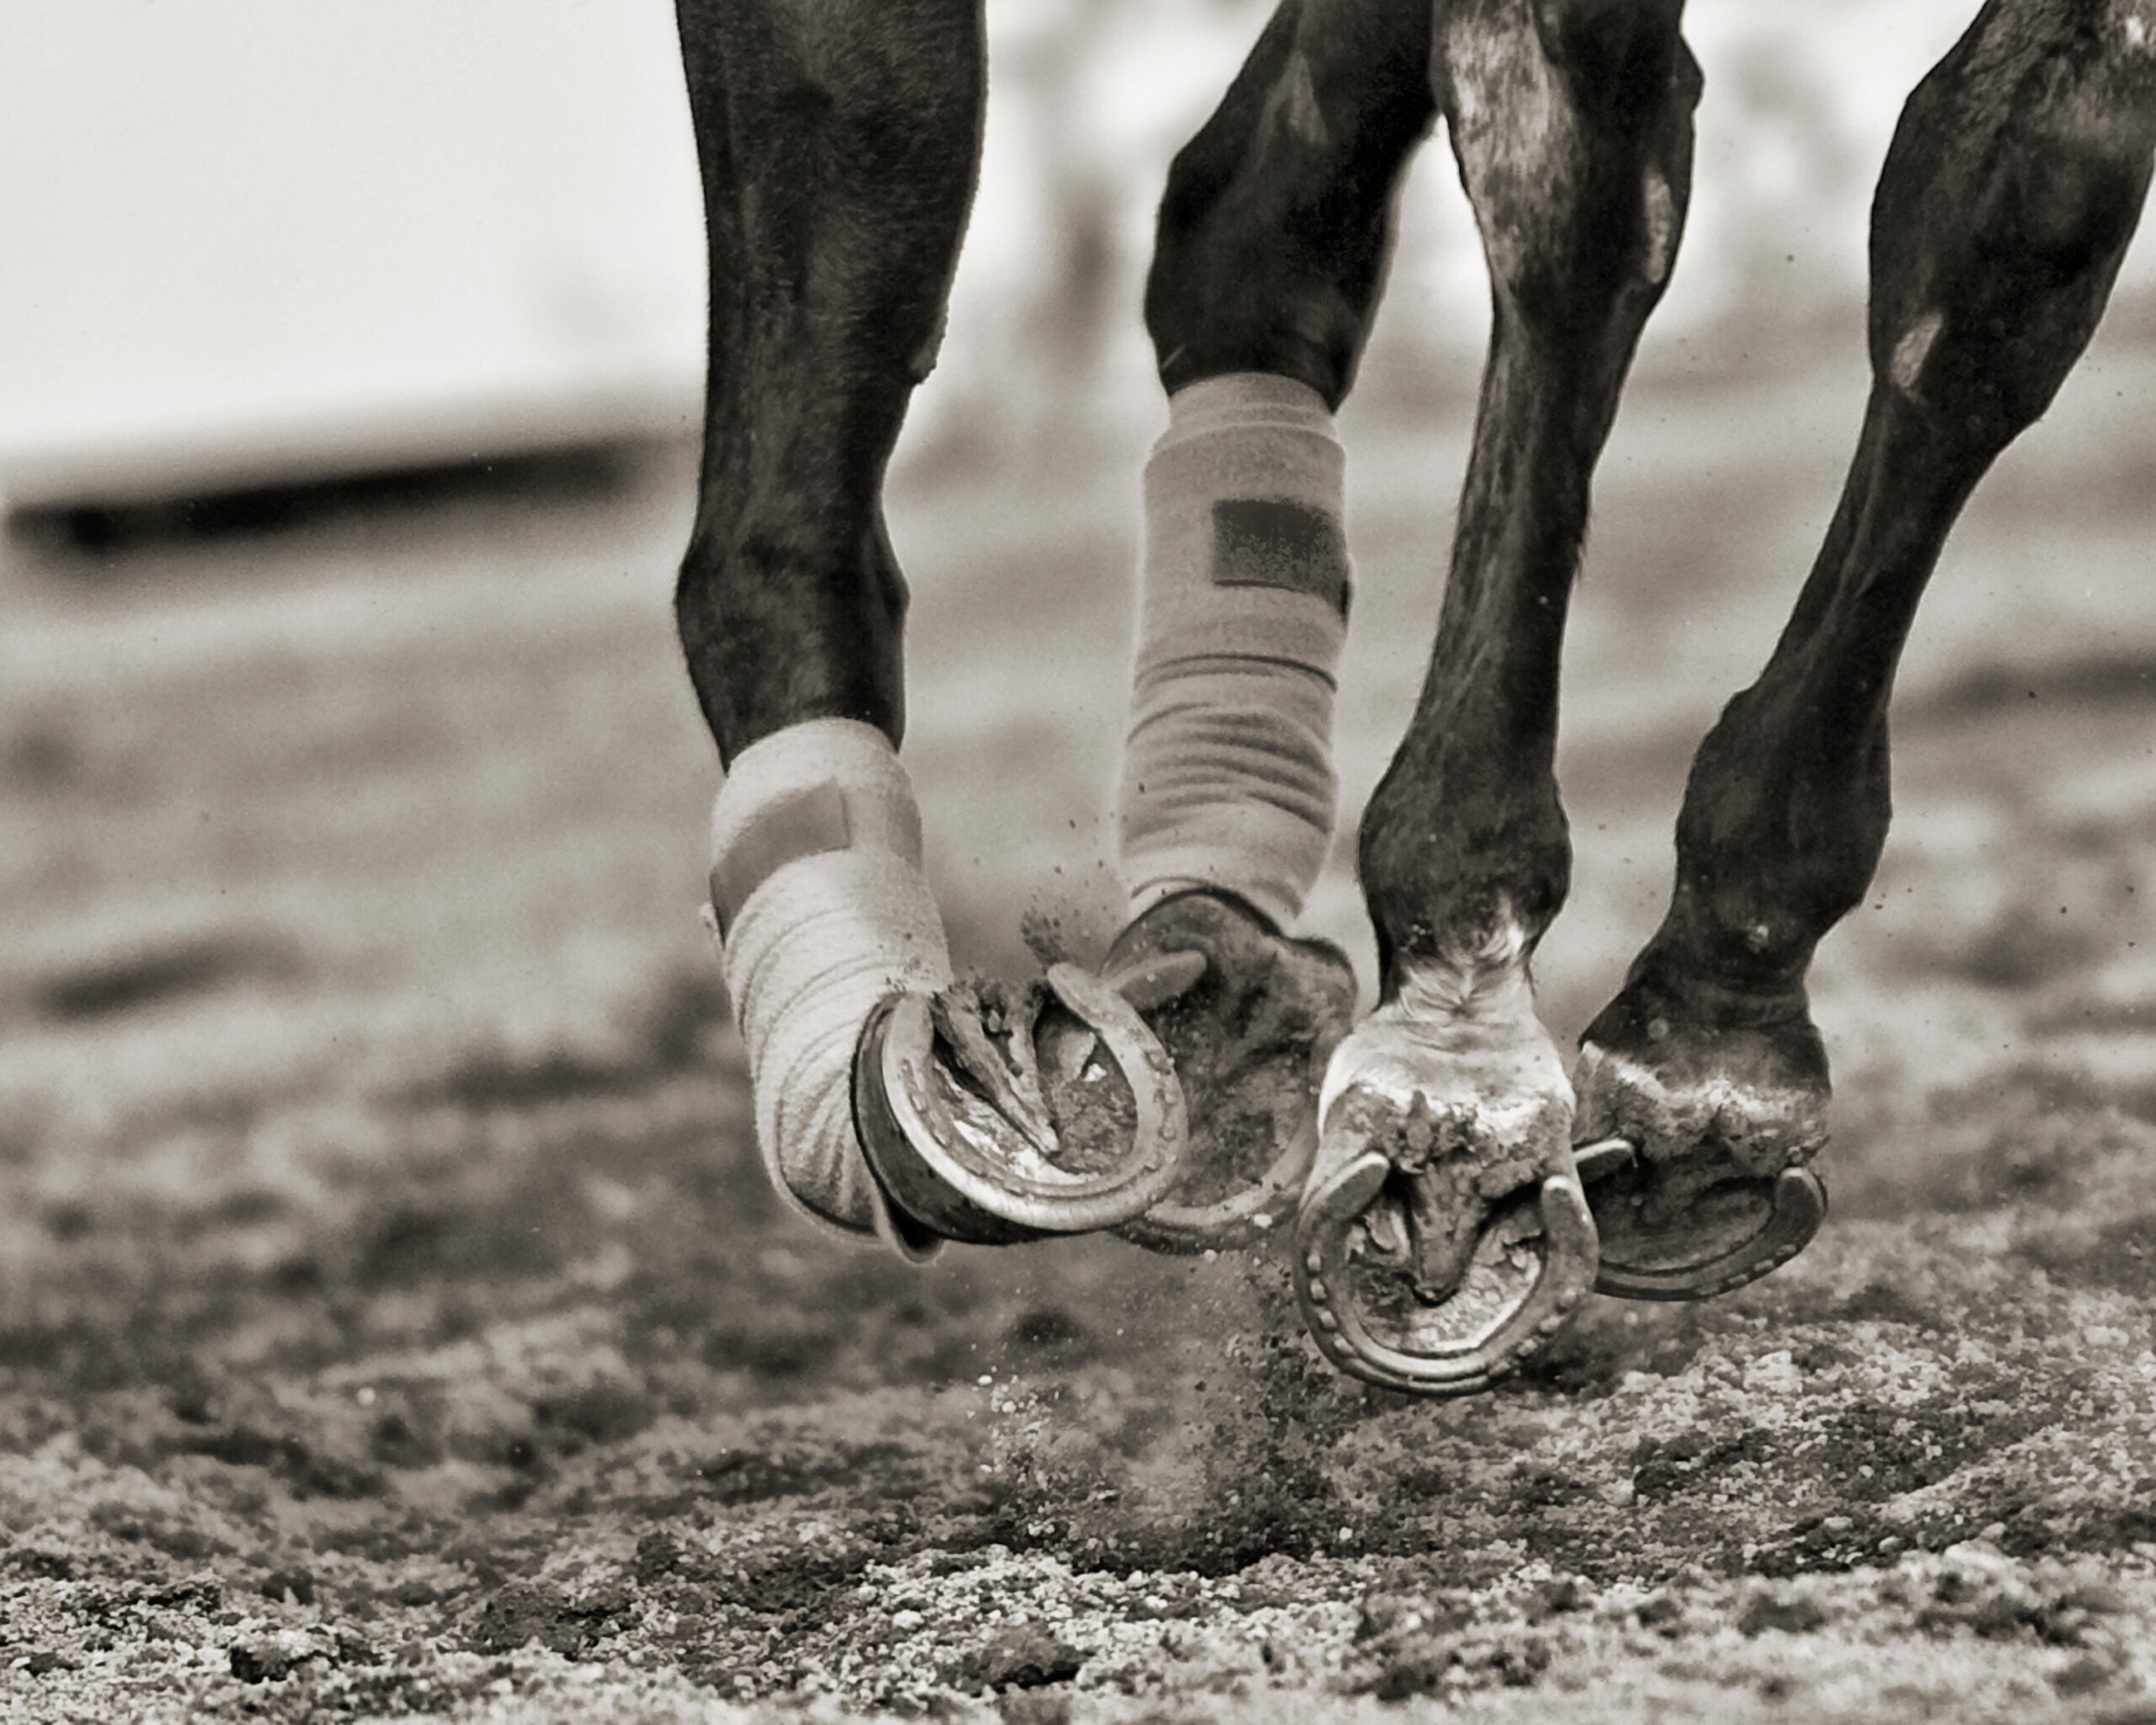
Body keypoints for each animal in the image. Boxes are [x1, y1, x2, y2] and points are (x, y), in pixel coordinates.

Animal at [674, 0, 2156, 1393]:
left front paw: (1719, 1029)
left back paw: (1215, 988)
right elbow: (1580, 178)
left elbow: (2018, 215)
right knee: (782, 484)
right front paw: (1461, 1036)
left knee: (1244, 217)